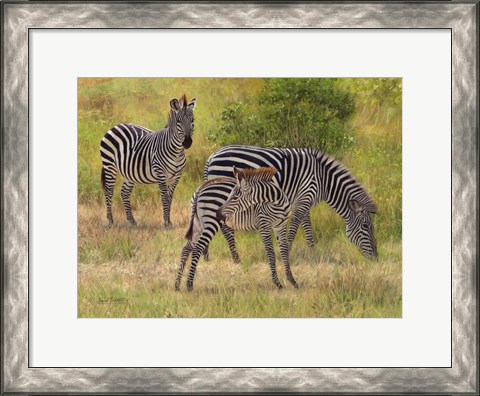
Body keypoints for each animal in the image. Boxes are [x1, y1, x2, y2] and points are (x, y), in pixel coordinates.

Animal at [99, 94, 197, 227]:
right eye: (178, 121)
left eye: (192, 121)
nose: (187, 142)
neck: (176, 153)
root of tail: (115, 126)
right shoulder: (160, 173)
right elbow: (165, 198)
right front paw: (166, 222)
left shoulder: (176, 177)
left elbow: (170, 198)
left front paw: (169, 221)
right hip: (109, 166)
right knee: (109, 191)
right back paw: (110, 221)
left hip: (129, 172)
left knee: (124, 193)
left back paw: (132, 221)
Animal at [204, 145, 376, 260]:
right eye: (366, 226)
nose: (376, 257)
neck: (323, 180)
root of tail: (212, 157)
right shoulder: (303, 199)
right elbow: (294, 228)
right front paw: (285, 254)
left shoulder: (304, 200)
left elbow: (307, 228)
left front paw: (313, 252)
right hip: (224, 191)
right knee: (224, 226)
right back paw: (236, 258)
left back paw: (208, 256)